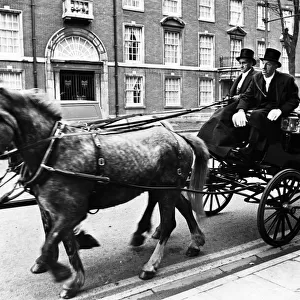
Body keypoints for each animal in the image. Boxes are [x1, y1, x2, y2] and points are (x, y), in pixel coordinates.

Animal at [0, 87, 209, 298]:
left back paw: (151, 264)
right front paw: (66, 267)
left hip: (167, 188)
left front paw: (66, 274)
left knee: (168, 223)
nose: (10, 161)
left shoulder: (70, 210)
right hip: (165, 187)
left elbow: (54, 240)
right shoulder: (52, 207)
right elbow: (57, 237)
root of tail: (179, 137)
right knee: (182, 206)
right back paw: (195, 241)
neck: (52, 151)